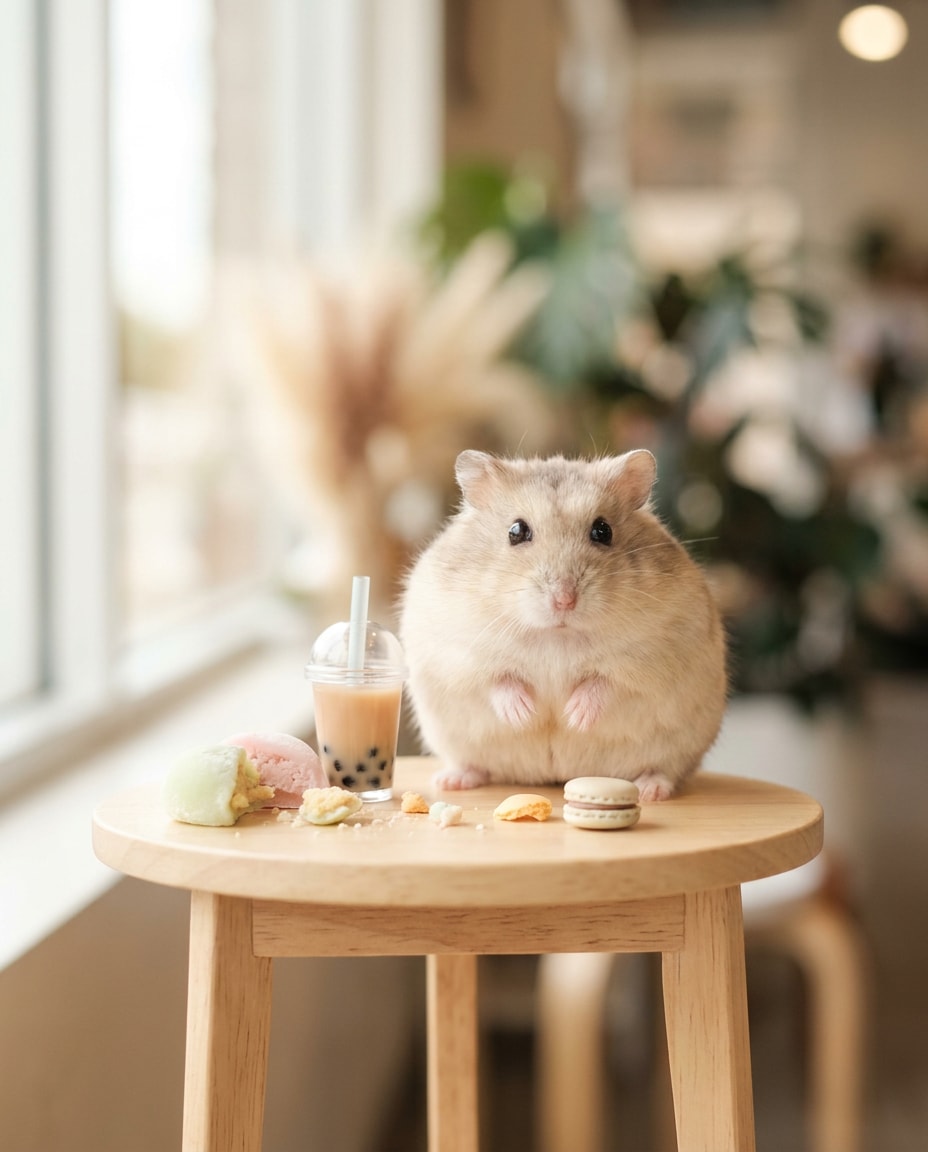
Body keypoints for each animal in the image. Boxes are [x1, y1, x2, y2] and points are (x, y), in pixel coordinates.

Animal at [398, 449, 728, 801]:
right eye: (516, 531)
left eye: (603, 531)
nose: (565, 600)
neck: (556, 635)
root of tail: (554, 777)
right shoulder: (457, 650)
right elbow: (497, 679)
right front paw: (525, 715)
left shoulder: (655, 652)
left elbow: (604, 682)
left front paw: (573, 717)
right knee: (474, 765)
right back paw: (451, 781)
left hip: (678, 748)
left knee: (665, 771)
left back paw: (650, 790)